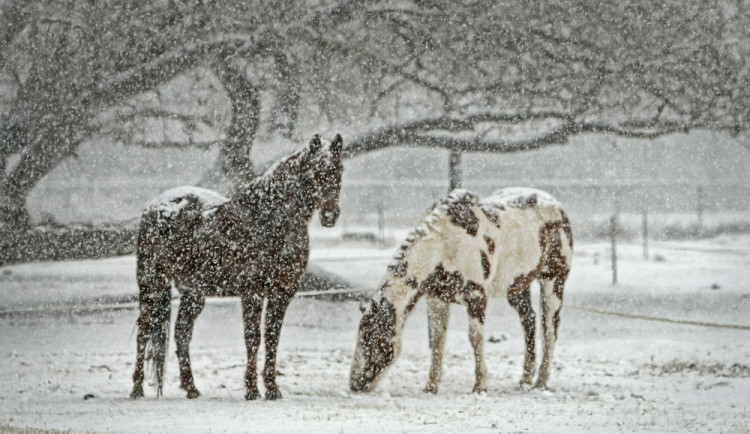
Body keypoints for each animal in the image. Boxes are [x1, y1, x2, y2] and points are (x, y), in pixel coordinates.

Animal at [131, 133, 346, 400]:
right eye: (315, 171)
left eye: (339, 169)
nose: (329, 215)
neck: (270, 219)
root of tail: (155, 206)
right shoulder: (252, 293)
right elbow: (253, 338)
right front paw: (252, 389)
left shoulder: (282, 294)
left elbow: (272, 338)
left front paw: (272, 389)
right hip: (152, 284)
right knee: (144, 330)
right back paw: (137, 388)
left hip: (193, 293)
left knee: (181, 333)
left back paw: (191, 388)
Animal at [352, 188, 576, 396]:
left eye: (372, 339)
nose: (355, 384)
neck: (446, 244)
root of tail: (557, 206)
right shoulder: (437, 300)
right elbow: (438, 340)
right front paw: (431, 387)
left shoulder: (476, 297)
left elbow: (475, 338)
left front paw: (480, 386)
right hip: (517, 287)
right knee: (529, 320)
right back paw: (525, 380)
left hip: (553, 280)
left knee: (550, 329)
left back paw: (541, 382)